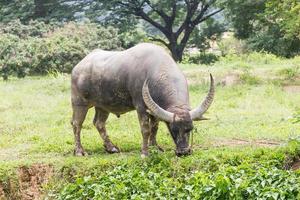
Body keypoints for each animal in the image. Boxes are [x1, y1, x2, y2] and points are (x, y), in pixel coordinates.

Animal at [71, 43, 214, 157]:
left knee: (99, 123)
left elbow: (154, 127)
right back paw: (79, 151)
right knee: (77, 124)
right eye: (172, 129)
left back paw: (111, 148)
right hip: (79, 103)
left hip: (102, 106)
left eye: (190, 128)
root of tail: (78, 67)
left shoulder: (154, 109)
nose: (183, 152)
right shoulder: (140, 107)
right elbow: (145, 129)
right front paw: (145, 152)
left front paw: (155, 147)